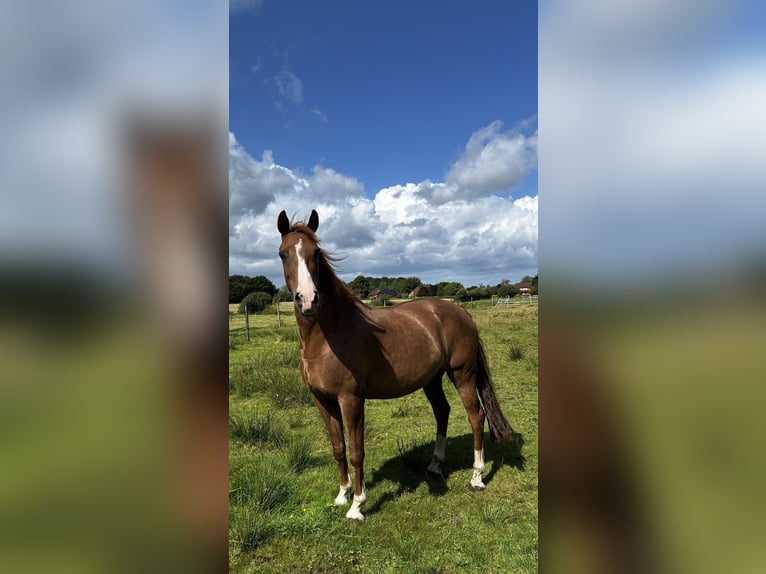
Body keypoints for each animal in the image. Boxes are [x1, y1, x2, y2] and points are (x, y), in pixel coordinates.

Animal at [277, 209, 515, 522]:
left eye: (315, 253)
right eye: (283, 254)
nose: (308, 300)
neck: (328, 337)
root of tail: (460, 310)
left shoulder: (351, 400)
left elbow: (356, 451)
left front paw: (357, 506)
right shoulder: (322, 400)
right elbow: (338, 447)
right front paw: (342, 495)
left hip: (462, 375)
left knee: (476, 417)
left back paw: (477, 477)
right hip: (432, 380)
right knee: (442, 411)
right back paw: (435, 466)